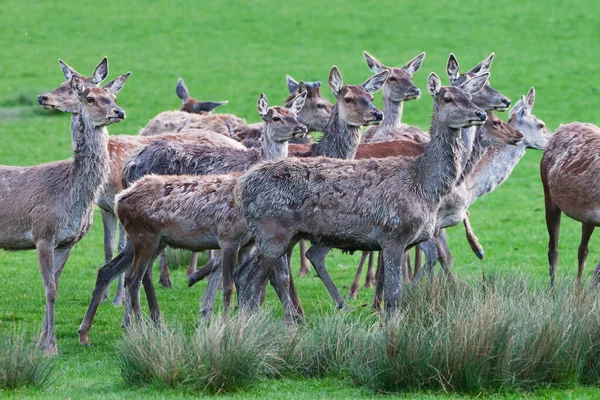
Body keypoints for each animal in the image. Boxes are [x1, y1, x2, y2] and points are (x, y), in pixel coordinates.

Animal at [0, 72, 127, 354]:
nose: (119, 111)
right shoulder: (43, 234)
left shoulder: (67, 241)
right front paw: (51, 347)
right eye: (89, 98)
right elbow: (50, 289)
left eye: (113, 96)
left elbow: (54, 285)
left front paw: (41, 341)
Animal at [77, 91, 308, 344]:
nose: (302, 128)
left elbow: (269, 275)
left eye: (295, 114)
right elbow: (266, 275)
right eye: (276, 117)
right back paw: (136, 321)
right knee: (138, 272)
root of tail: (130, 166)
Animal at [232, 70, 490, 318]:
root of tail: (243, 184)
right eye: (448, 98)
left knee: (245, 274)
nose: (480, 114)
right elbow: (394, 297)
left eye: (470, 97)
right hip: (272, 232)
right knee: (251, 278)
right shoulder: (394, 232)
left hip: (285, 235)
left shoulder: (407, 240)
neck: (425, 186)